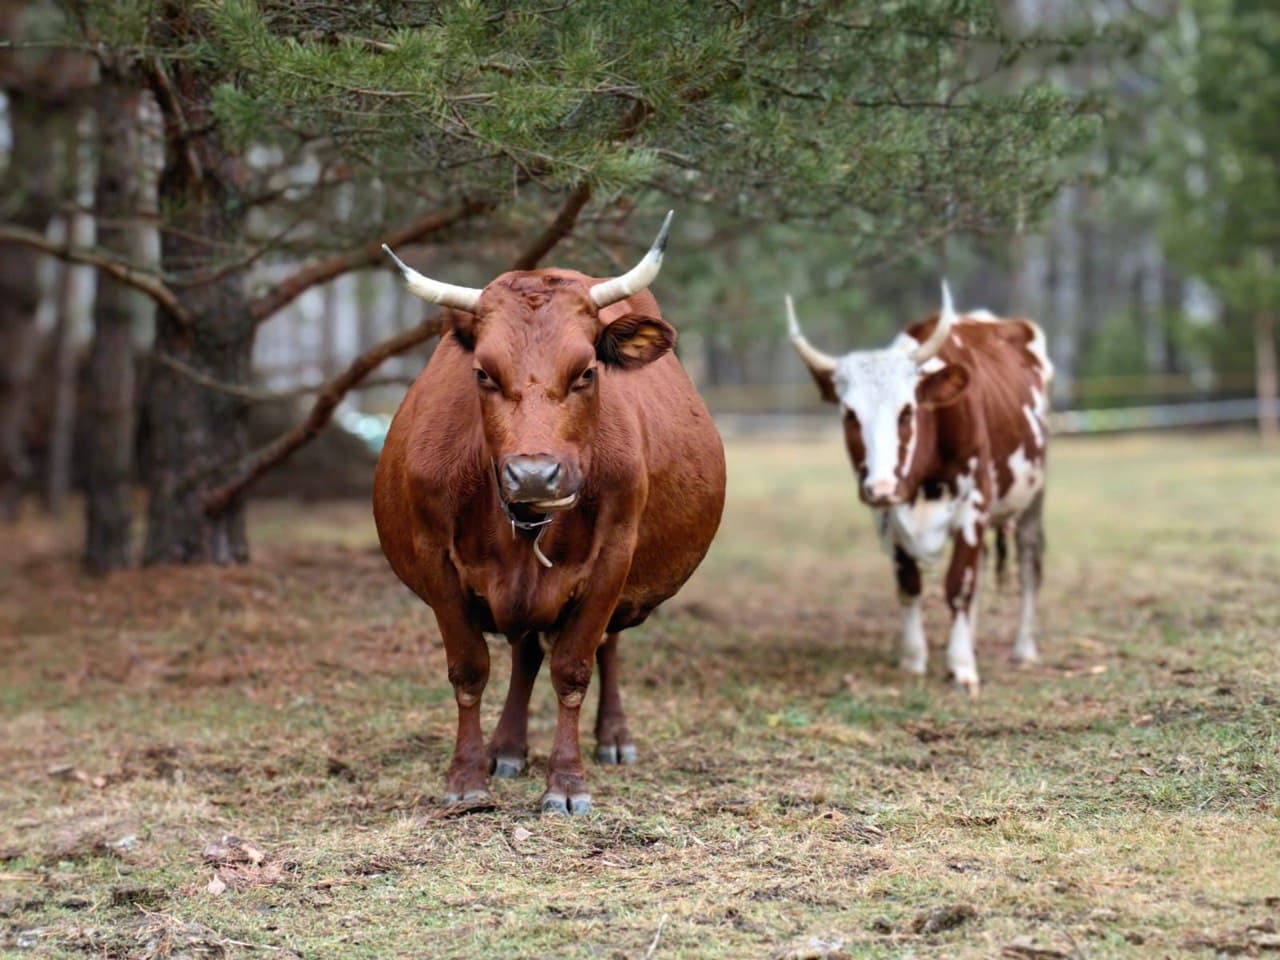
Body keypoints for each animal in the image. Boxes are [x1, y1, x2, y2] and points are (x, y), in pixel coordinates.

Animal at [374, 214, 725, 814]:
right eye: (483, 373)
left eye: (586, 371)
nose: (535, 475)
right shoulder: (435, 560)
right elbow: (470, 670)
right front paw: (467, 776)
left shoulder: (613, 558)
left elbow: (573, 667)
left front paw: (566, 782)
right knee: (524, 653)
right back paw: (507, 748)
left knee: (604, 646)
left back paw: (613, 738)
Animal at [785, 283, 1052, 694]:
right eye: (849, 414)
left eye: (908, 411)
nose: (880, 486)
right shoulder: (888, 519)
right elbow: (910, 584)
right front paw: (915, 659)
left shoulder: (973, 508)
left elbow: (959, 585)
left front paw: (961, 666)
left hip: (1031, 498)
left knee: (1028, 565)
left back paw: (1023, 649)